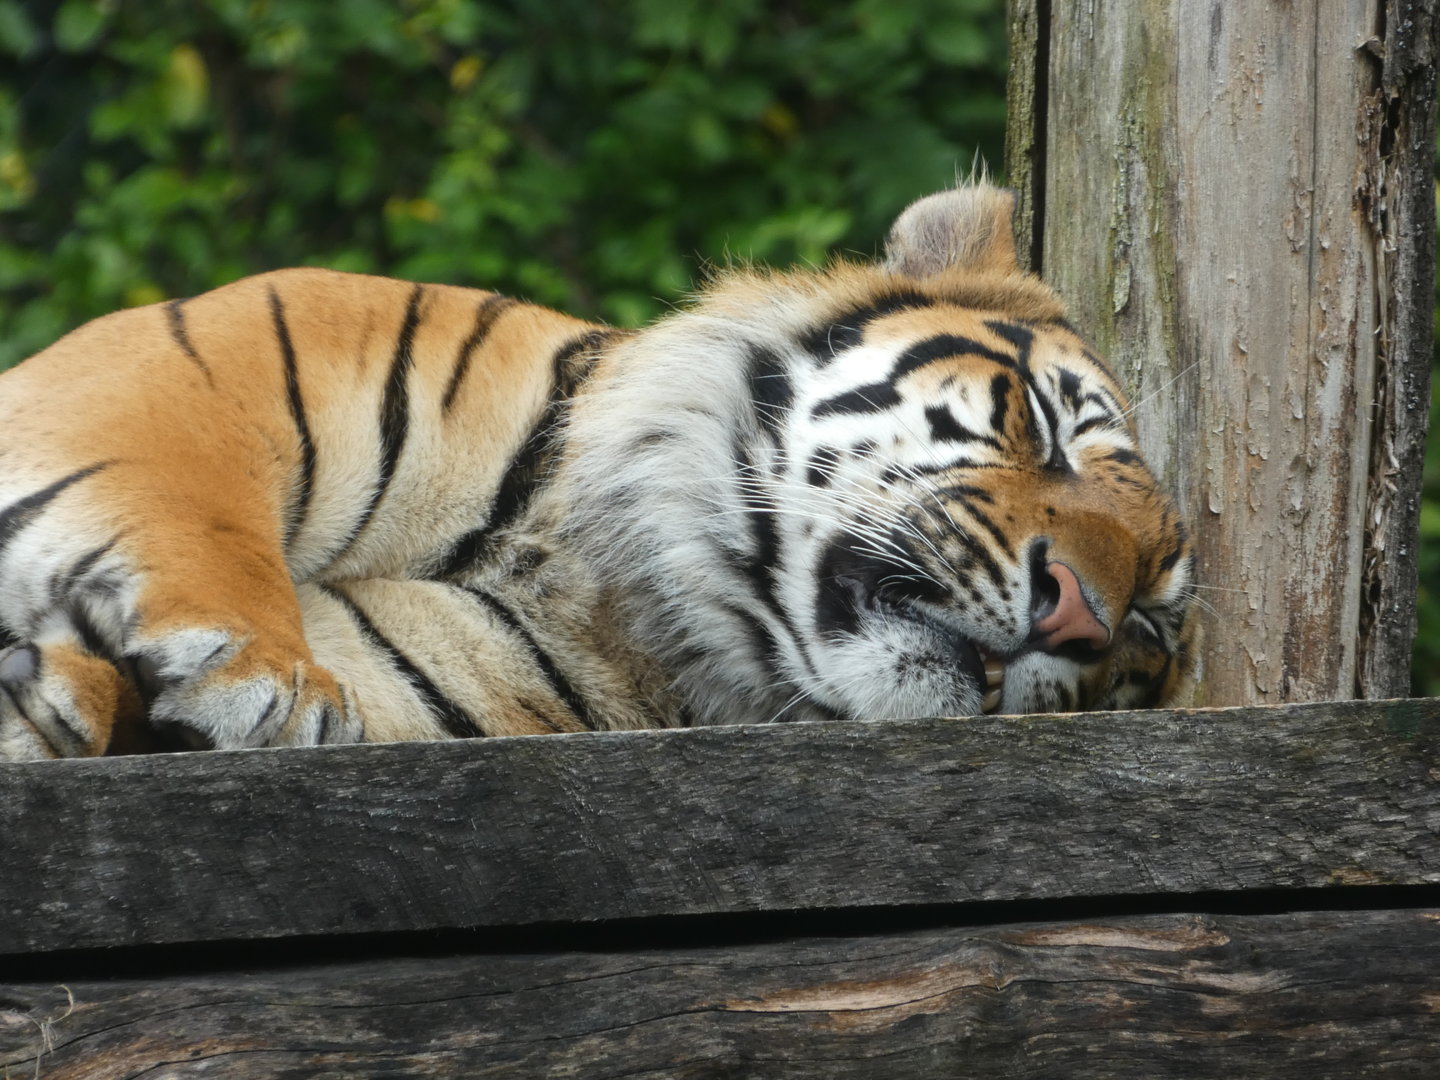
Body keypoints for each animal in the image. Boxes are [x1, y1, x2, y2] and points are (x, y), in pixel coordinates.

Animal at [0, 184, 1197, 760]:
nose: (1081, 616)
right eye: (1043, 427)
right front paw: (265, 679)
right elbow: (201, 517)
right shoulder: (200, 366)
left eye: (1148, 620)